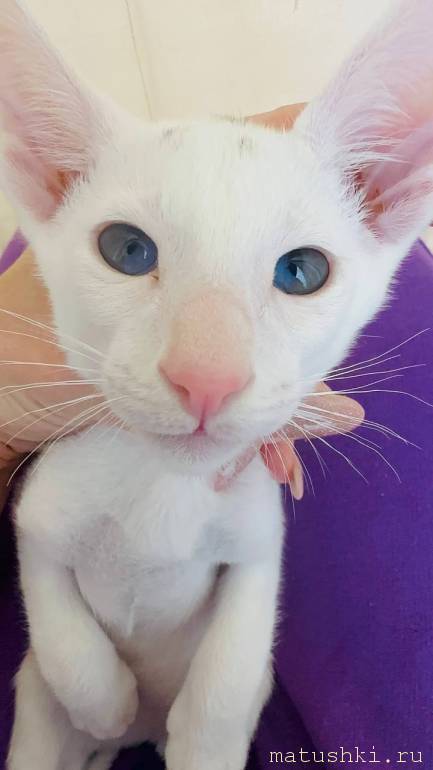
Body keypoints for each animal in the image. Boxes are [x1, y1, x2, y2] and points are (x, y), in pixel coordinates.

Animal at [1, 0, 433, 769]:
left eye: (301, 271)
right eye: (126, 249)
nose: (206, 377)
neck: (160, 491)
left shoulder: (258, 542)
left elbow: (229, 677)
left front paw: (204, 730)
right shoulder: (37, 516)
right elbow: (55, 620)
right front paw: (103, 698)